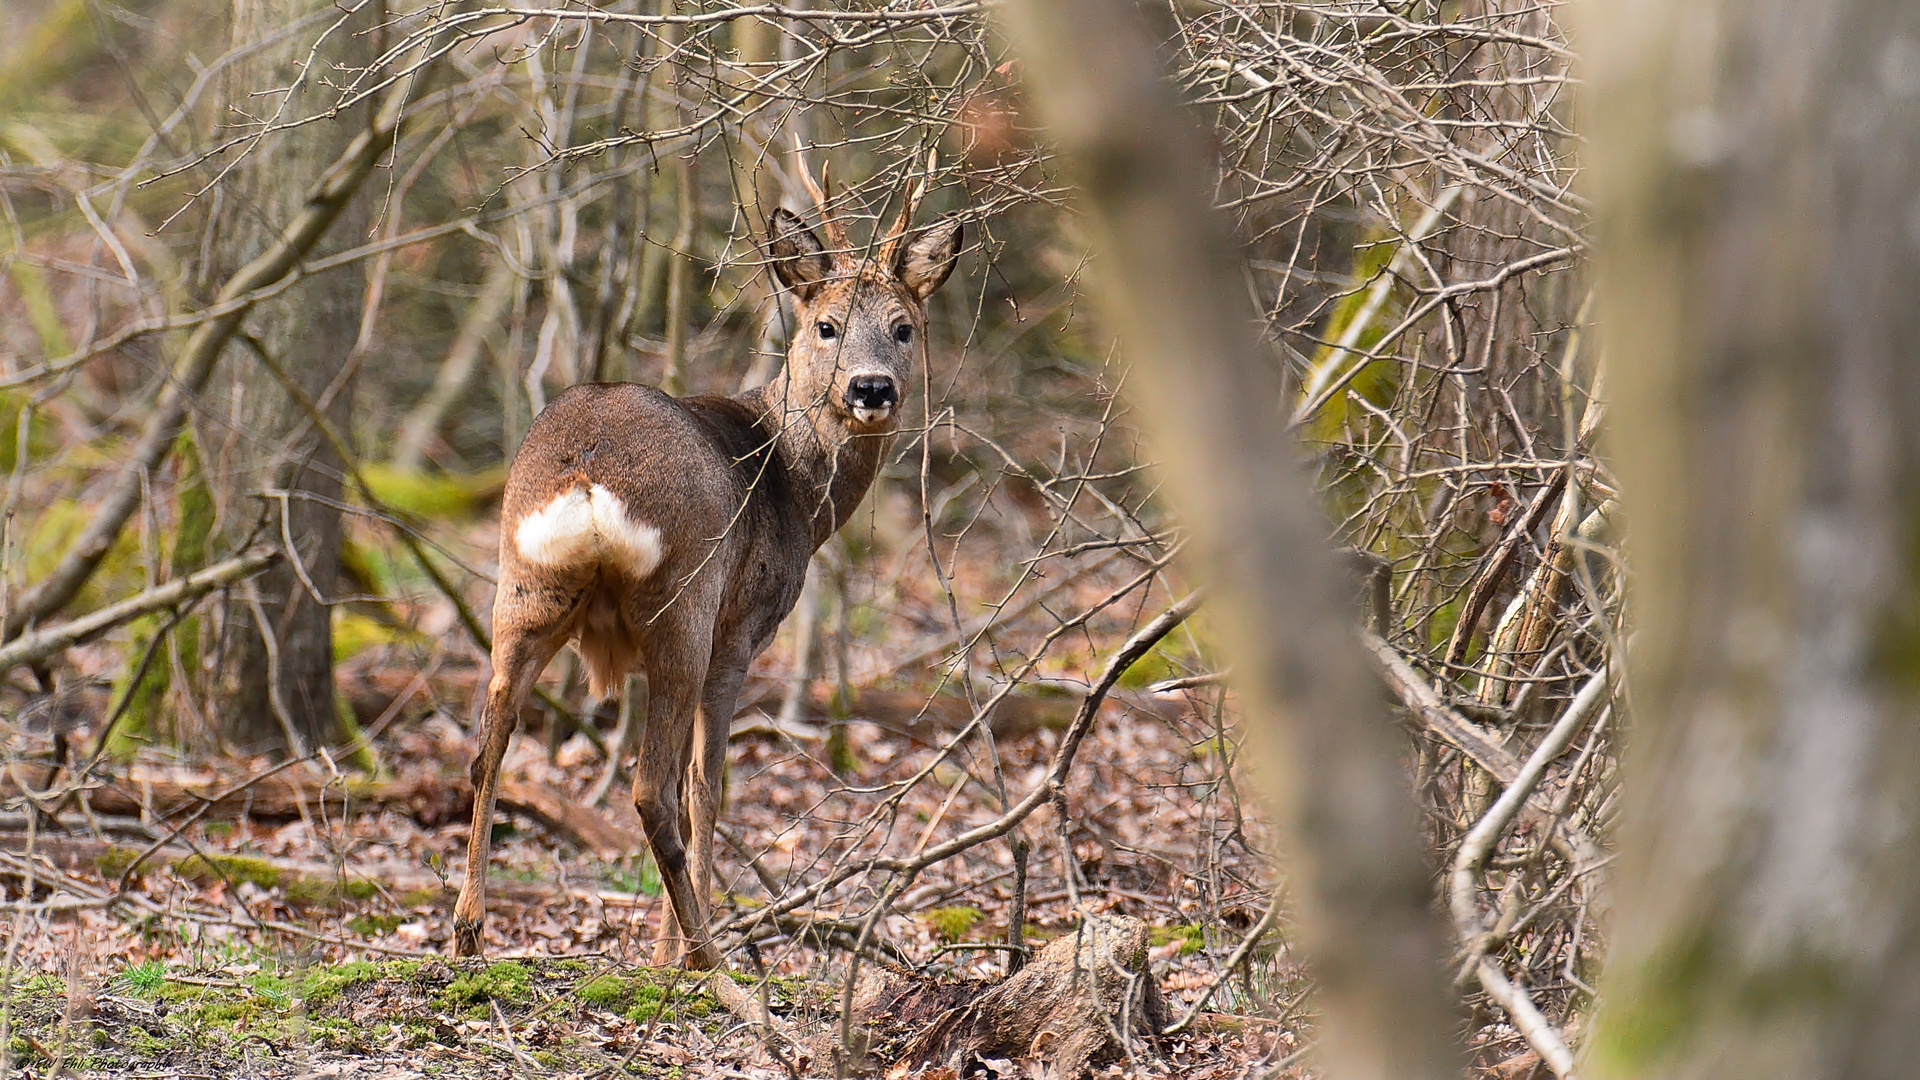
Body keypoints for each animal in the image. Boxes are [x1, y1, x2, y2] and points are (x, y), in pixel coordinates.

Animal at [451, 153, 960, 957]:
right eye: (827, 326)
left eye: (904, 327)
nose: (871, 387)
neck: (796, 487)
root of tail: (586, 469)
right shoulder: (743, 627)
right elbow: (707, 784)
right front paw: (670, 953)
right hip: (682, 605)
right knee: (654, 788)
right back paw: (705, 952)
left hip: (524, 588)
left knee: (486, 746)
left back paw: (467, 933)